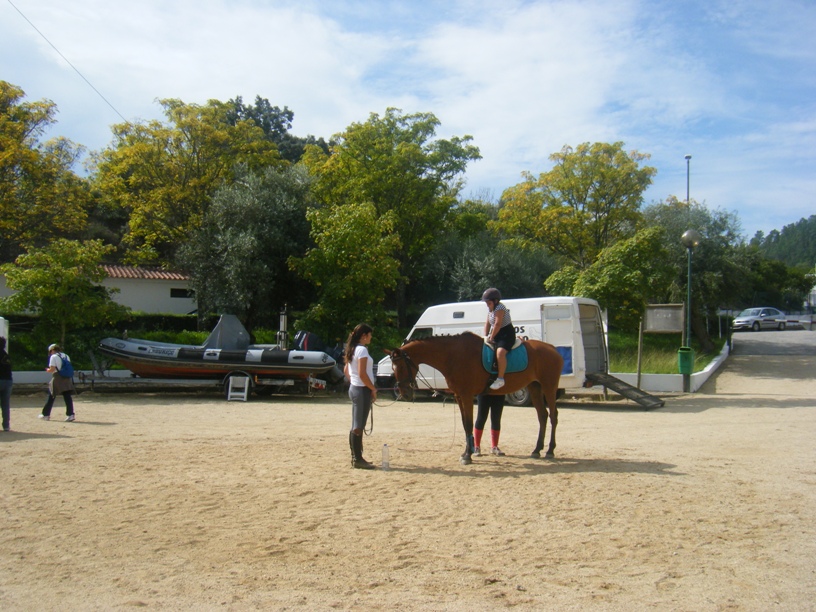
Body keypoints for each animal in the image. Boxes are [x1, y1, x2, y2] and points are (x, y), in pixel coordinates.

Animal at [386, 332, 564, 466]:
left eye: (400, 366)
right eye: (394, 368)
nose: (404, 393)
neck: (452, 355)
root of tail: (552, 348)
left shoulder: (466, 396)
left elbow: (470, 423)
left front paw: (467, 455)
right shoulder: (459, 396)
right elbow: (465, 424)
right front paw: (468, 452)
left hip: (548, 387)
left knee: (553, 416)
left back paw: (550, 450)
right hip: (535, 387)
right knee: (542, 416)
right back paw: (537, 450)